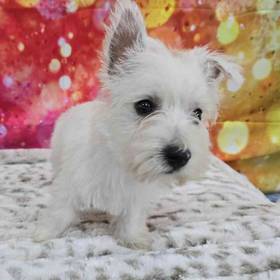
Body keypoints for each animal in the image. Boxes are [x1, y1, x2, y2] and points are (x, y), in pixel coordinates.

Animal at [33, 0, 243, 249]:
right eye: (144, 106)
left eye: (197, 113)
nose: (180, 156)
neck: (123, 162)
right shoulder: (70, 185)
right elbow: (59, 211)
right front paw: (42, 234)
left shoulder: (136, 198)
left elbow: (131, 217)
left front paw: (134, 239)